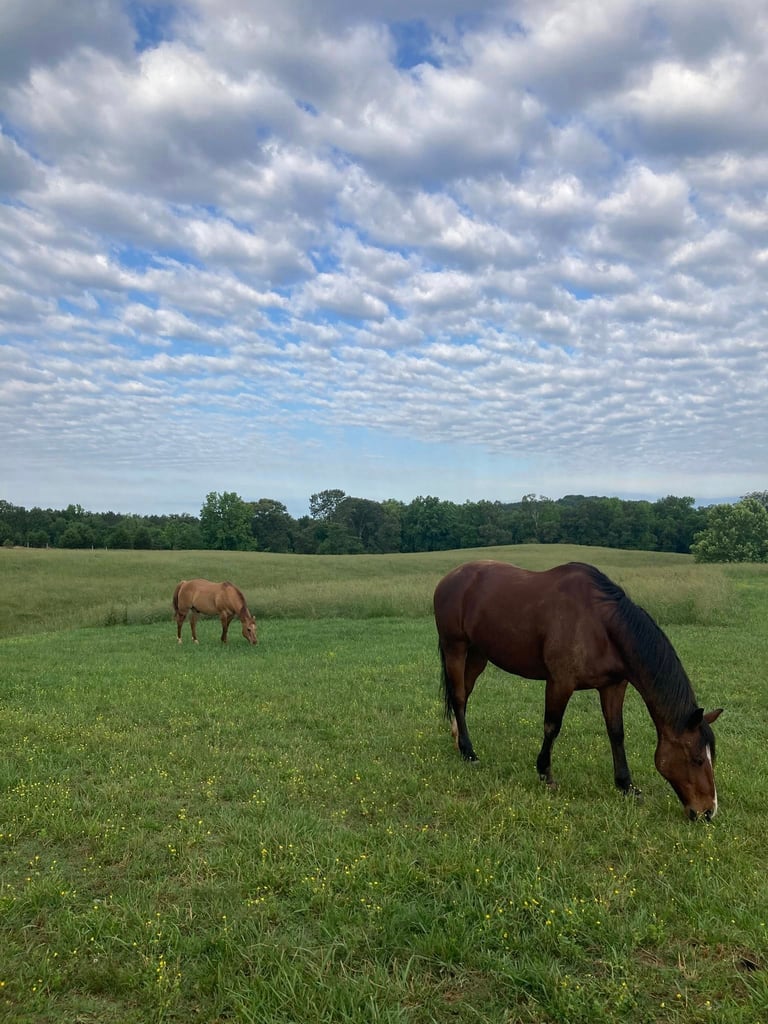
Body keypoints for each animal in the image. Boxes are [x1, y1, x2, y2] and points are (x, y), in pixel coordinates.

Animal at [434, 560, 723, 820]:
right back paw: (469, 752)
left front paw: (626, 785)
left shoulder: (613, 685)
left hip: (478, 654)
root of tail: (450, 578)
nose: (708, 812)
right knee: (458, 697)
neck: (600, 625)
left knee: (464, 695)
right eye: (697, 759)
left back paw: (458, 741)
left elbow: (616, 732)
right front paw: (545, 773)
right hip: (455, 648)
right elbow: (552, 726)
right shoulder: (560, 682)